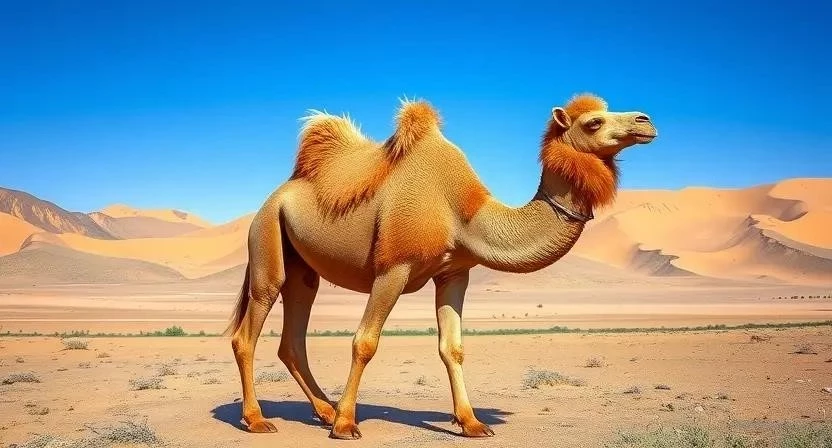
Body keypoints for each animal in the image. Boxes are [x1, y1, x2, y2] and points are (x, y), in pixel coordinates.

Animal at [223, 93, 657, 439]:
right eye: (593, 122)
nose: (645, 121)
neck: (466, 214)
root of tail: (271, 199)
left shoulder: (453, 273)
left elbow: (453, 348)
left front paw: (472, 423)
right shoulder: (393, 267)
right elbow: (365, 342)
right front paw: (346, 425)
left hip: (302, 269)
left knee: (293, 338)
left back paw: (323, 411)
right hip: (266, 239)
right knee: (249, 331)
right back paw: (259, 419)